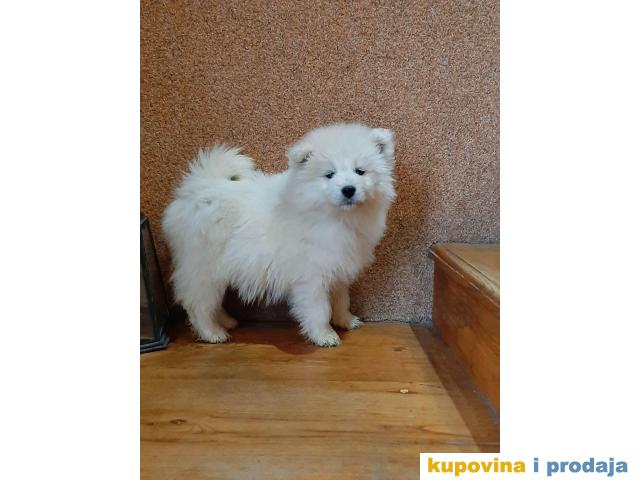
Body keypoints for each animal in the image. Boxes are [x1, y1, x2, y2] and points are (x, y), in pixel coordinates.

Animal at [162, 123, 396, 346]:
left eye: (360, 171)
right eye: (329, 174)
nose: (348, 189)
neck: (333, 215)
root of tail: (197, 188)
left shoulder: (337, 266)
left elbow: (341, 299)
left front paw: (345, 320)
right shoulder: (311, 276)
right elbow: (319, 309)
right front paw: (324, 335)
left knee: (211, 302)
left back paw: (227, 321)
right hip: (204, 266)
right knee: (198, 302)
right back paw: (212, 333)